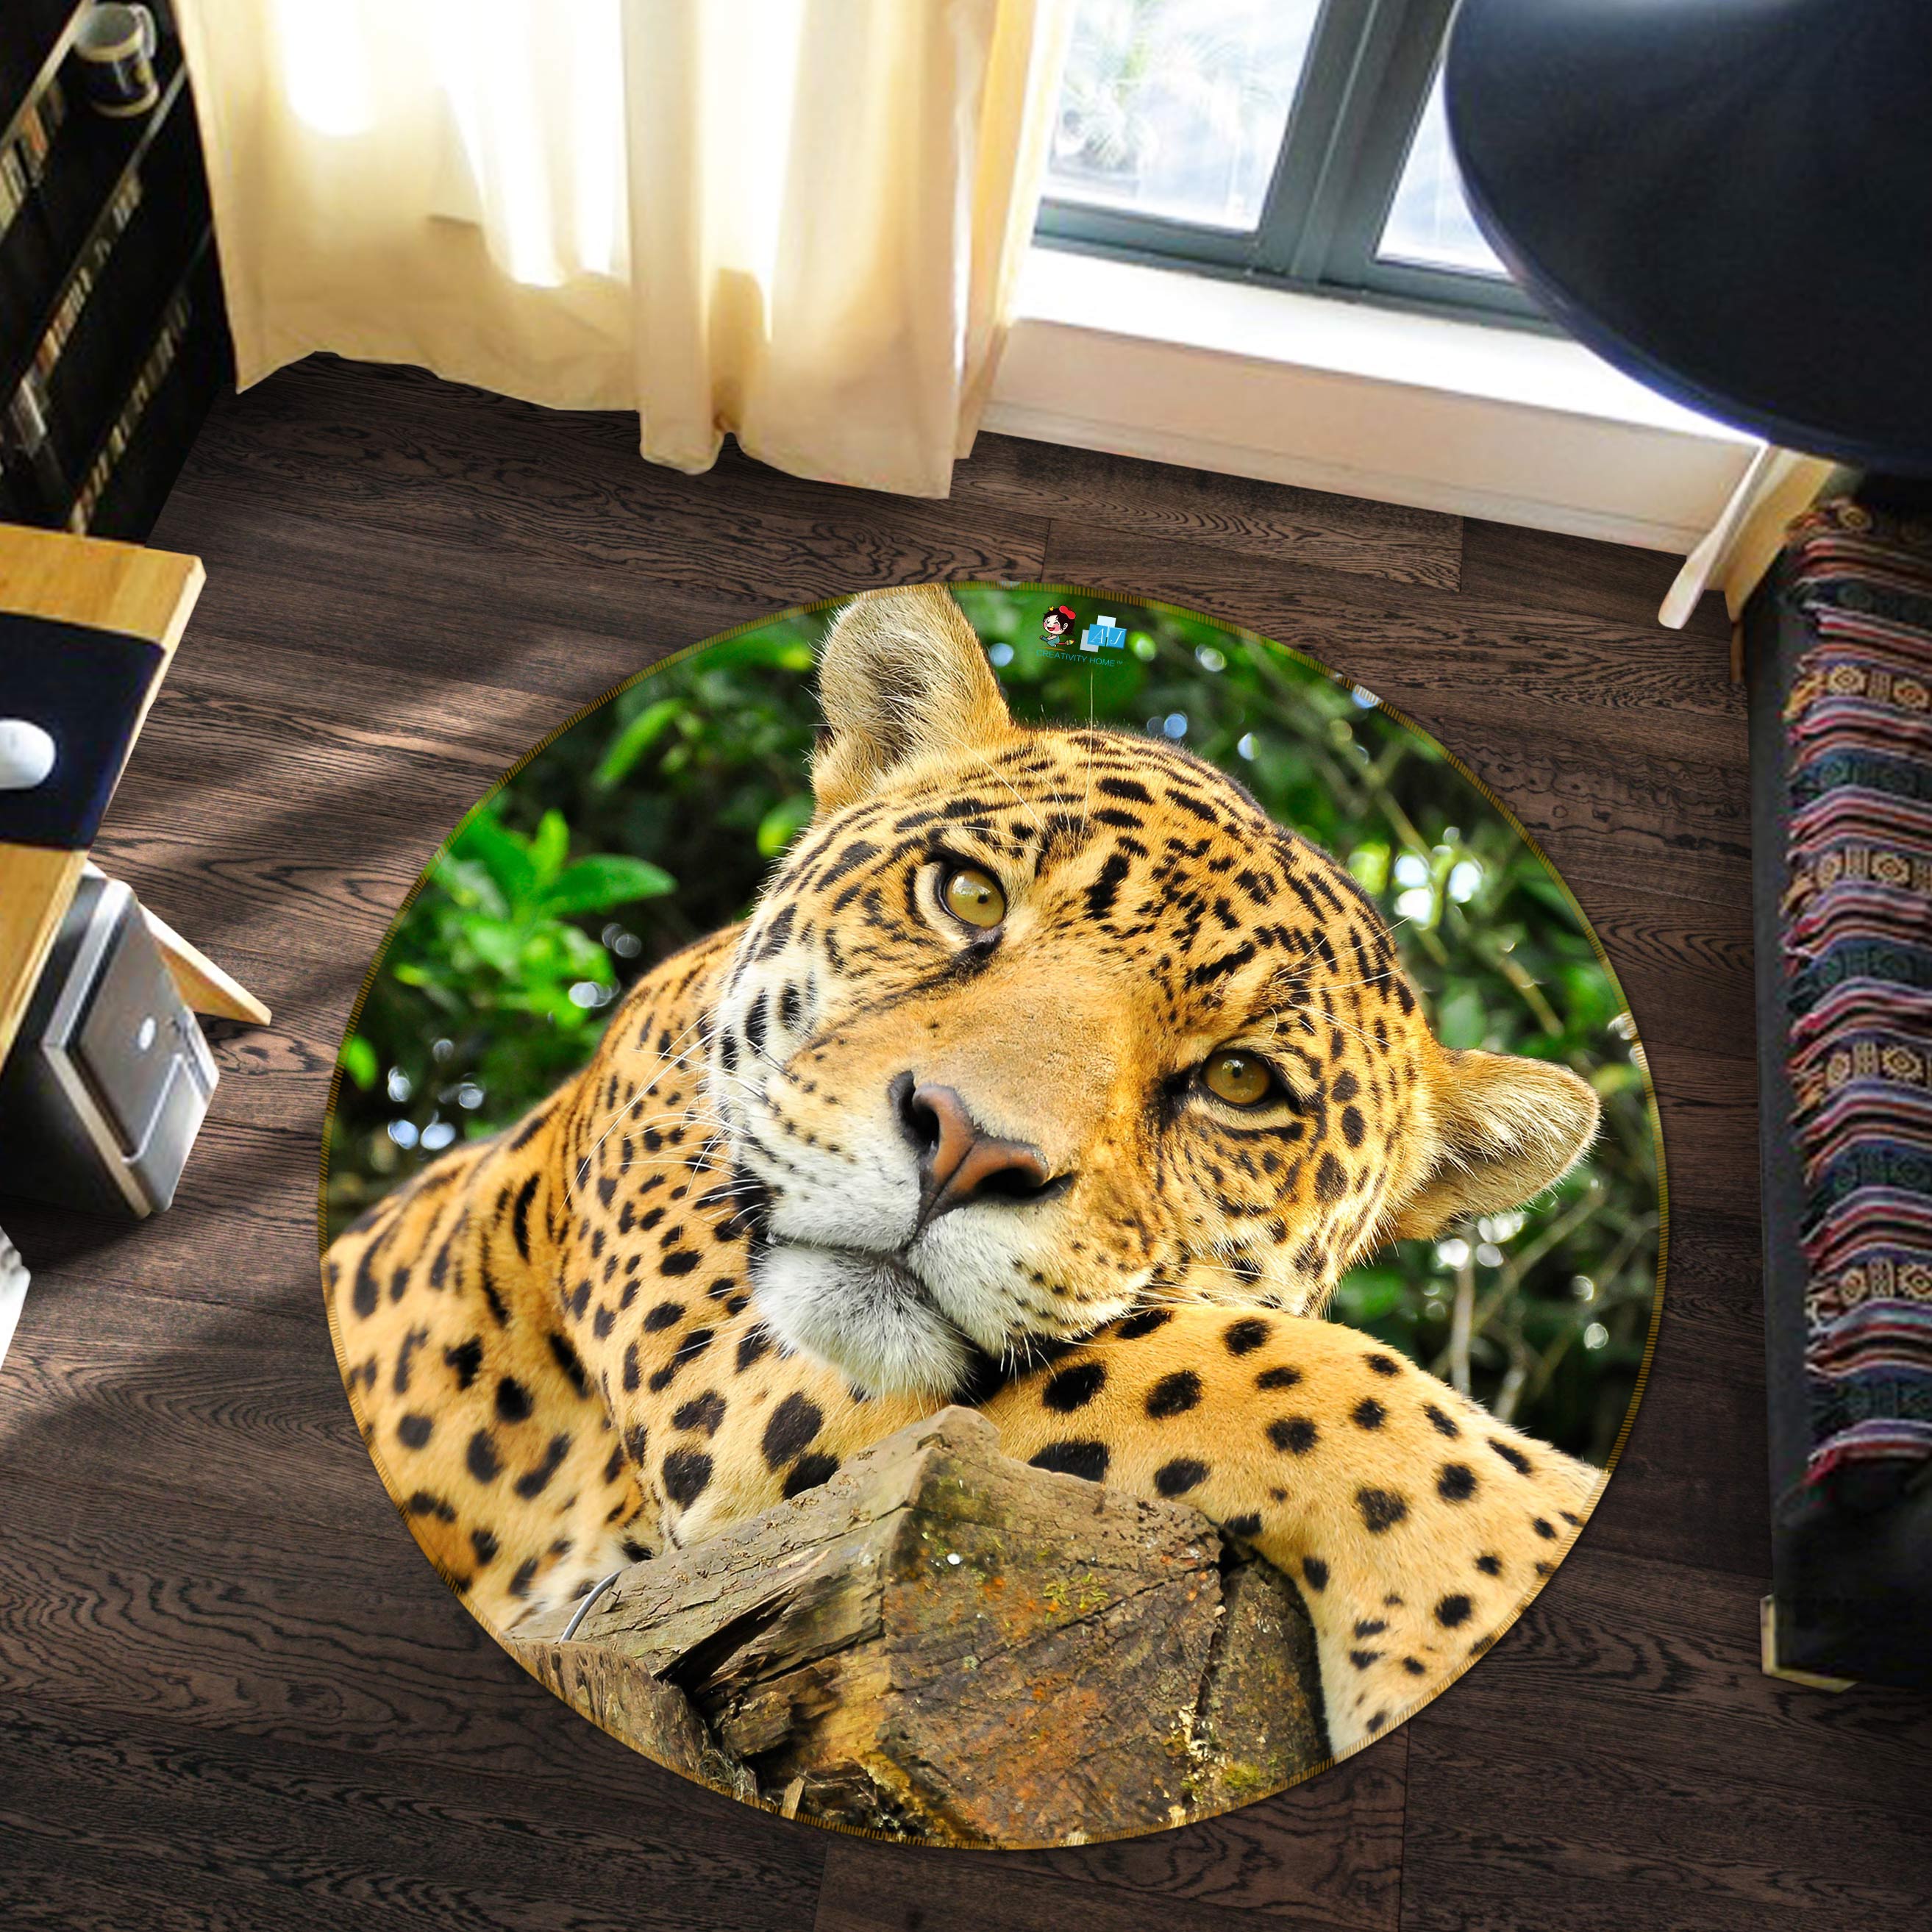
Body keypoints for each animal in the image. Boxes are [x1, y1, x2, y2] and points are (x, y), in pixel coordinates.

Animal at [323, 583, 1608, 1759]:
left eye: (1240, 1082)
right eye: (968, 894)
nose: (964, 1144)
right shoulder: (731, 1383)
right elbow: (1251, 1365)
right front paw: (1506, 1553)